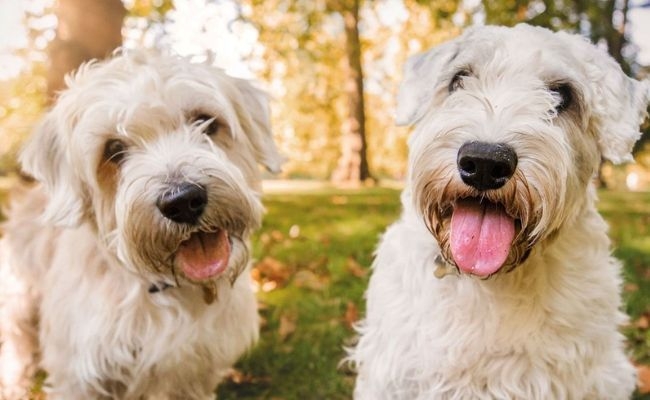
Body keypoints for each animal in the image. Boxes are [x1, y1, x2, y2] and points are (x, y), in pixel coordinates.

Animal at [0, 50, 282, 400]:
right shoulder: (78, 371)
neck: (163, 287)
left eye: (206, 122)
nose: (183, 201)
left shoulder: (193, 372)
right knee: (16, 344)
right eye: (113, 149)